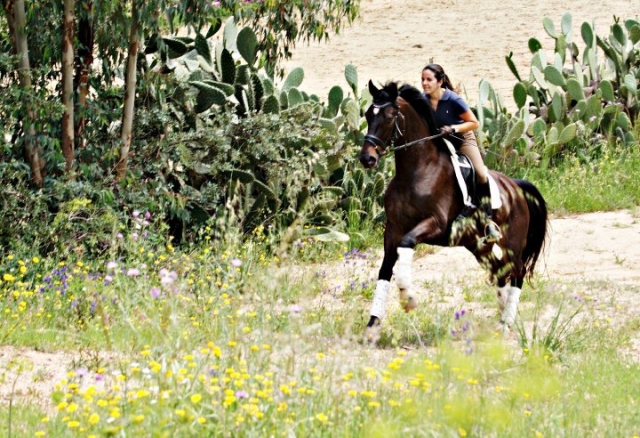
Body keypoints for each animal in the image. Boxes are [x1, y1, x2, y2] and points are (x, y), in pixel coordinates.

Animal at [358, 80, 548, 341]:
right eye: (368, 114)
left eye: (388, 117)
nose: (367, 158)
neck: (416, 171)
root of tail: (517, 187)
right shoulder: (393, 229)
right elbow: (385, 270)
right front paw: (372, 325)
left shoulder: (435, 225)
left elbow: (407, 243)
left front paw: (408, 298)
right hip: (478, 245)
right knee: (500, 272)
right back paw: (499, 321)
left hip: (512, 244)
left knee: (516, 272)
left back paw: (506, 322)